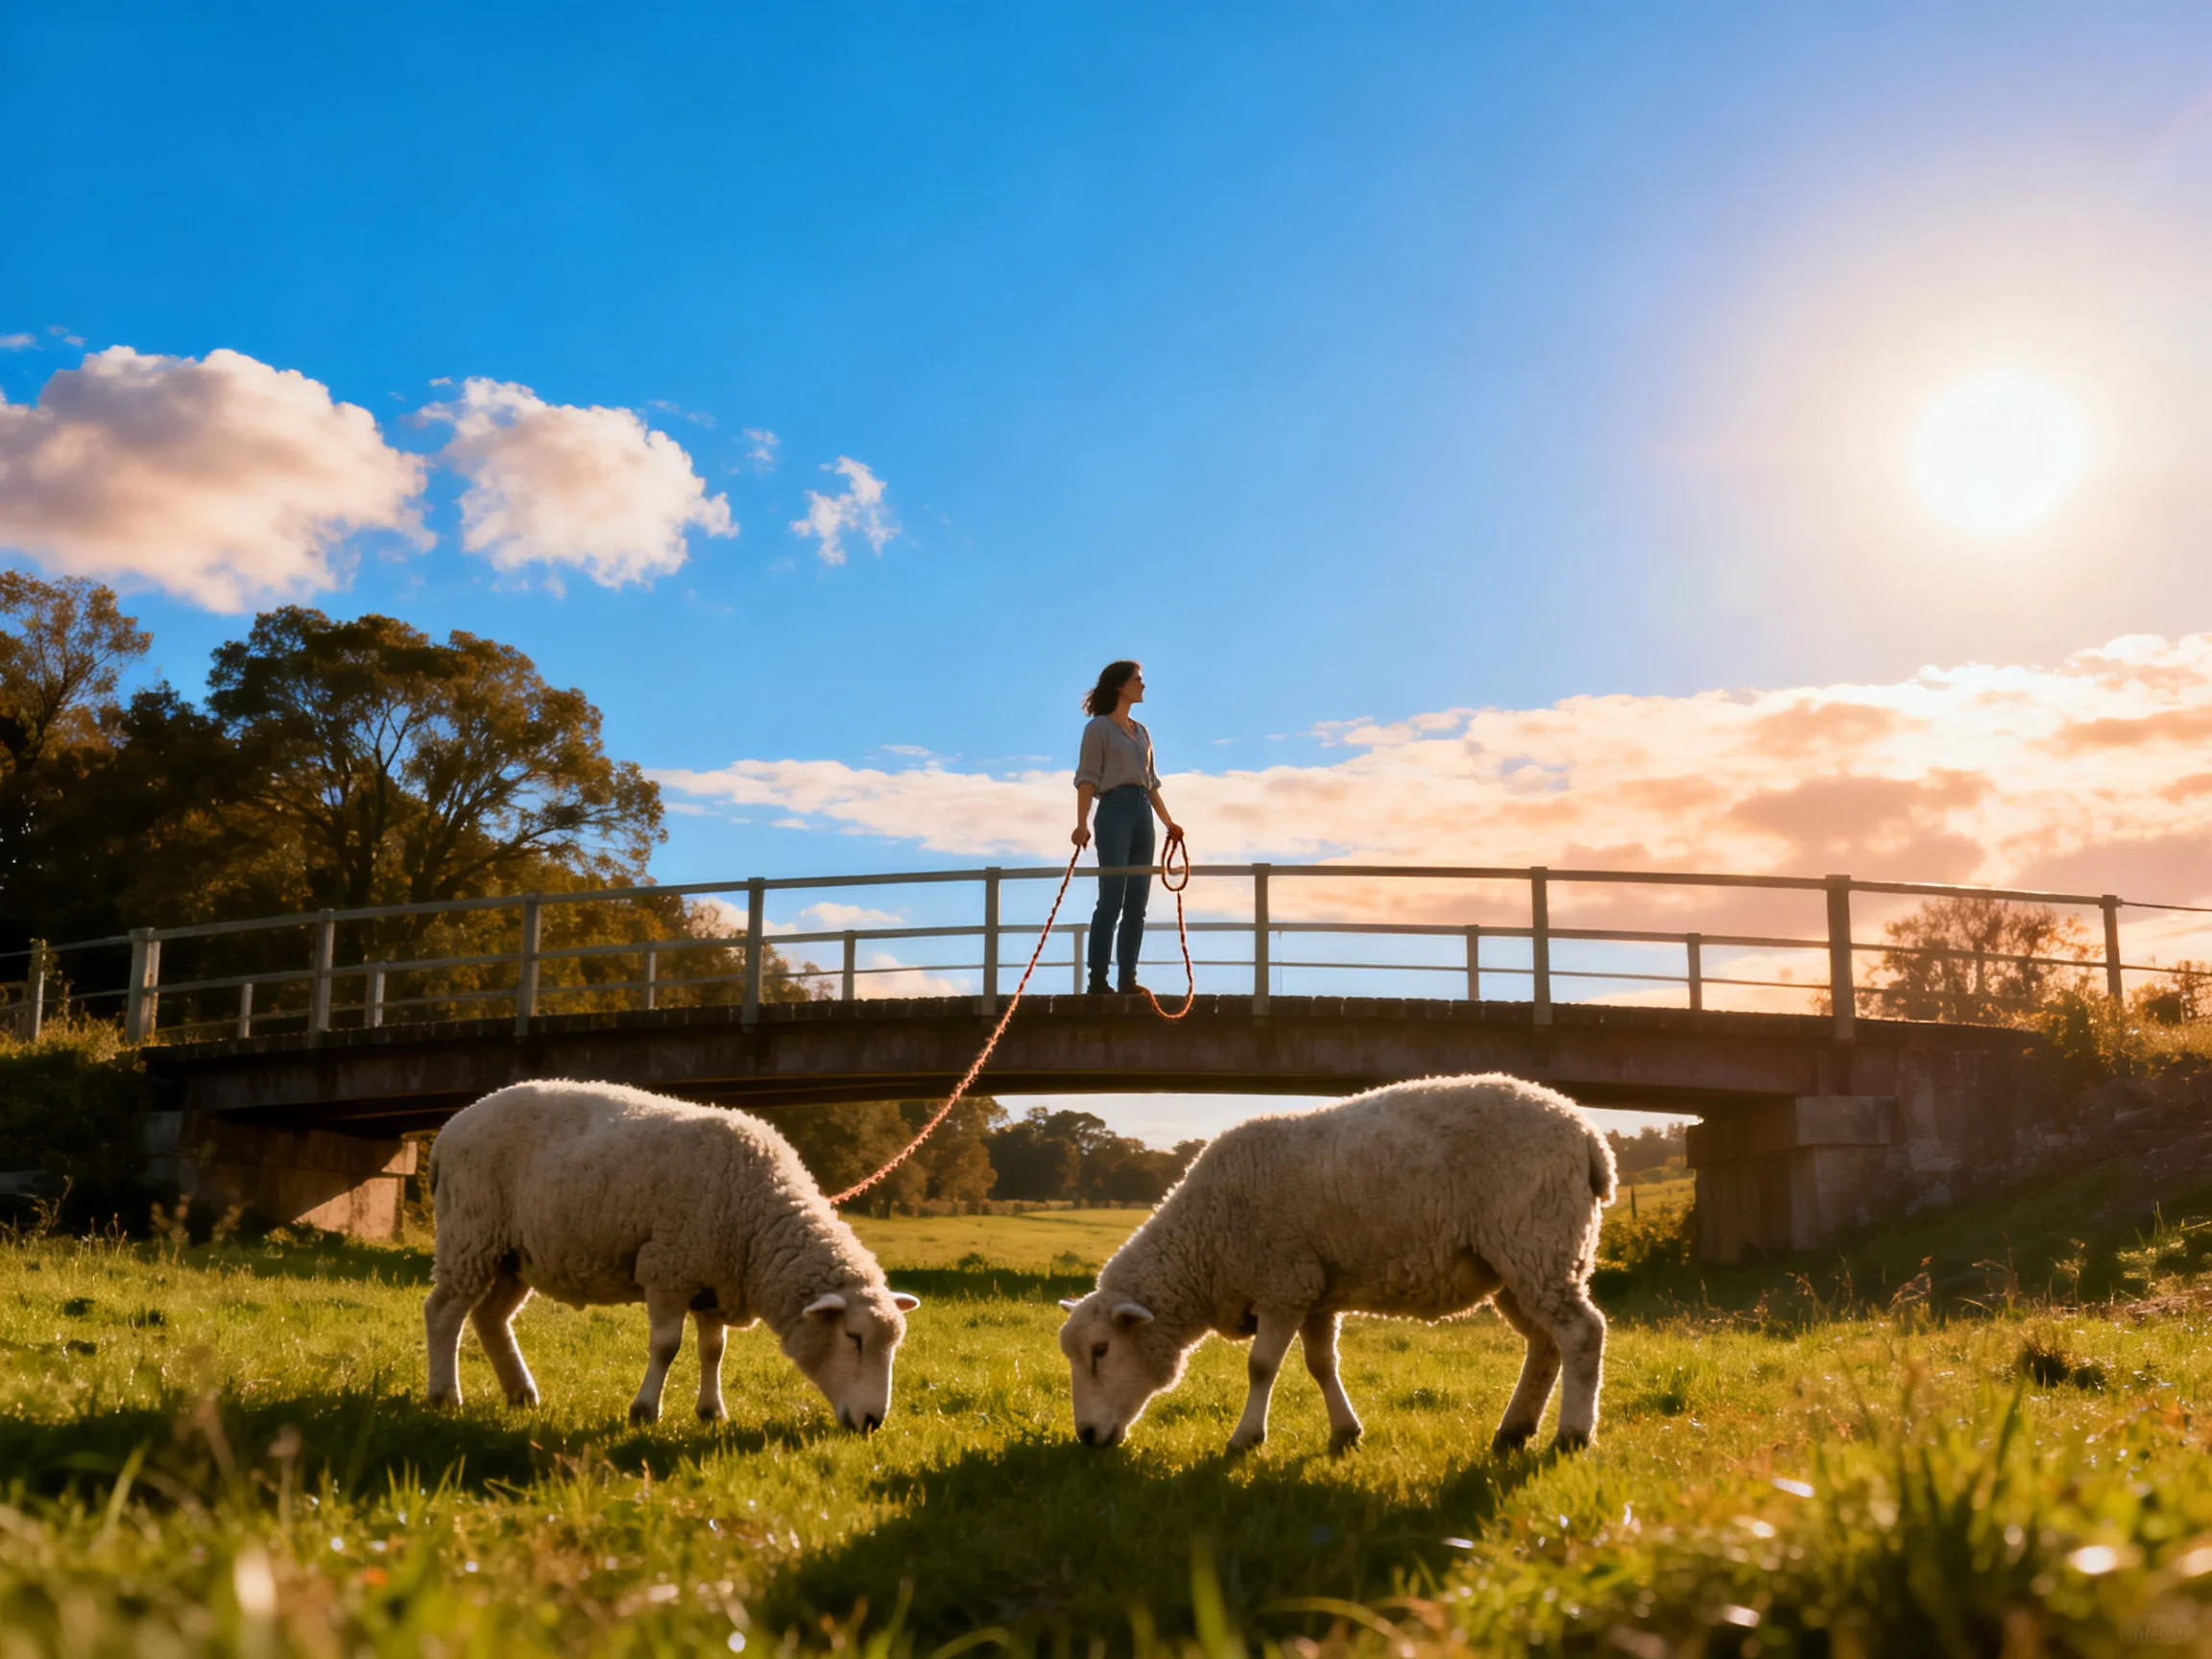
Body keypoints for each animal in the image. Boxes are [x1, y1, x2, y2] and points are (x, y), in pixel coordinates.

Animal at [423, 1080, 919, 1430]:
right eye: (854, 1338)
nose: (872, 1423)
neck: (757, 1216)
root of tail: (450, 1129)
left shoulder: (714, 1280)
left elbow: (713, 1350)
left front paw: (711, 1412)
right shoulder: (668, 1268)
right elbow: (667, 1346)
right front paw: (645, 1410)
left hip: (512, 1254)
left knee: (489, 1317)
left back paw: (521, 1393)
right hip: (470, 1232)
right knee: (443, 1312)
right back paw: (445, 1395)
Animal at [1057, 1073, 1615, 1454]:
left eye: (1101, 1350)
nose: (1086, 1435)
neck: (1205, 1246)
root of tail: (1586, 1132)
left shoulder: (1281, 1282)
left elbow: (1261, 1367)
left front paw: (1245, 1438)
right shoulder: (1313, 1290)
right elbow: (1321, 1364)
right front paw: (1345, 1432)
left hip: (1536, 1238)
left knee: (1581, 1334)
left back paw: (1572, 1435)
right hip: (1519, 1263)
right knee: (1545, 1343)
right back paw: (1514, 1430)